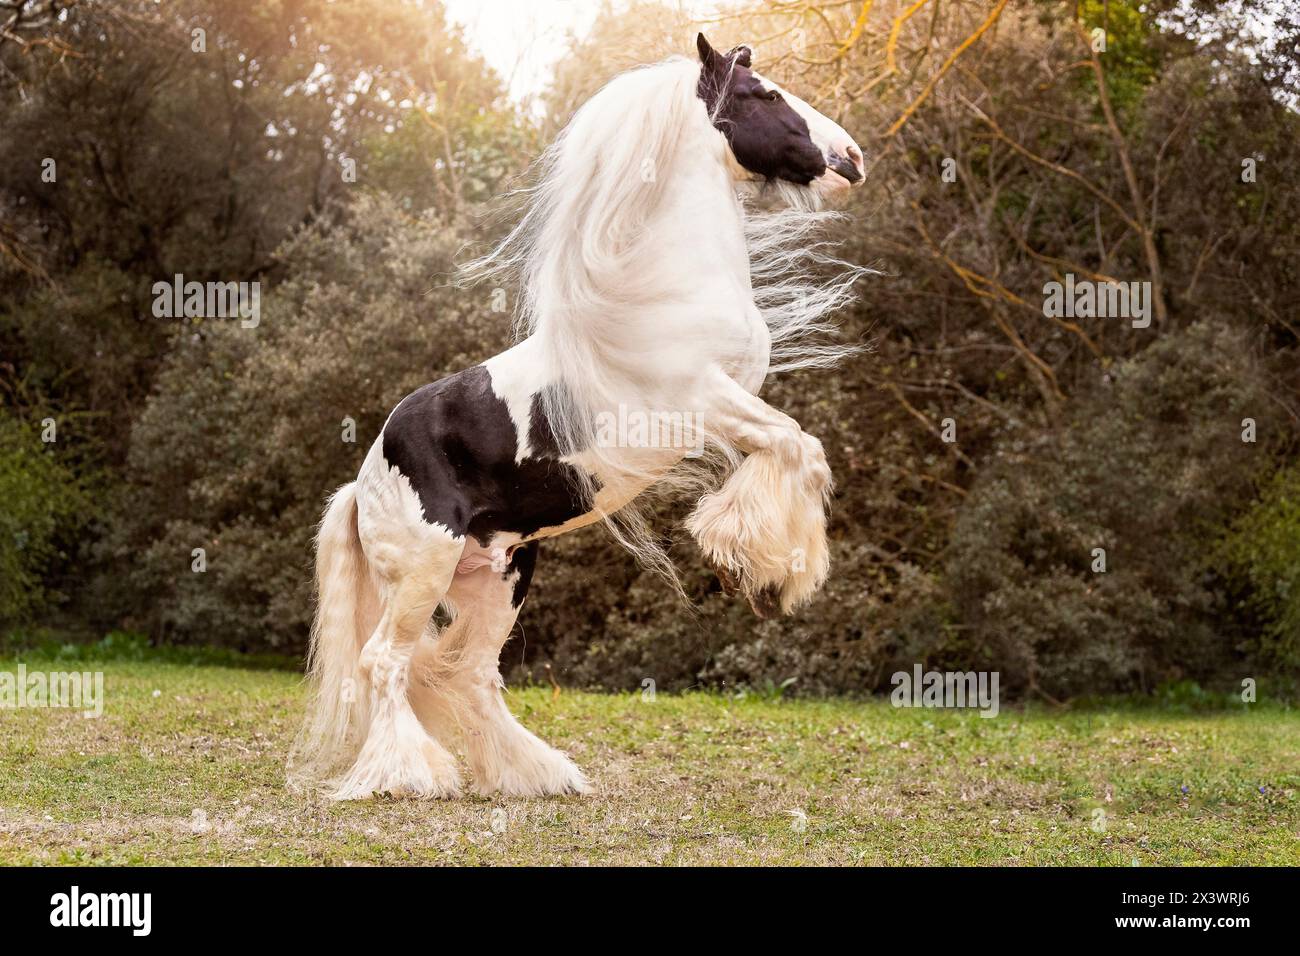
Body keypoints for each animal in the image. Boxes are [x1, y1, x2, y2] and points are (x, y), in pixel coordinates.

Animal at [287, 34, 866, 800]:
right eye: (764, 94)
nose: (852, 157)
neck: (666, 291)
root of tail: (365, 480)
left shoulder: (727, 408)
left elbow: (790, 450)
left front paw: (756, 563)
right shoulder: (703, 398)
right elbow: (803, 447)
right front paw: (765, 574)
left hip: (500, 577)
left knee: (466, 673)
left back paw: (537, 775)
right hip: (421, 573)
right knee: (387, 660)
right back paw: (408, 778)